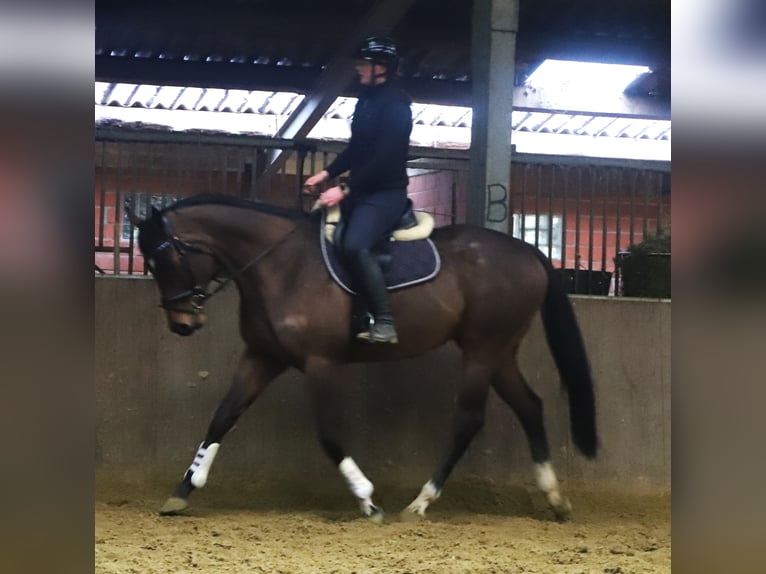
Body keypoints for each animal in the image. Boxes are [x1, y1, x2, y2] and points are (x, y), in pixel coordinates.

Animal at [130, 193, 597, 522]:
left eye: (164, 257)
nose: (182, 324)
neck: (281, 264)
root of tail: (529, 252)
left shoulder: (320, 363)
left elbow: (329, 435)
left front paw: (367, 500)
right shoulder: (262, 356)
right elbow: (222, 417)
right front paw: (183, 490)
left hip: (483, 350)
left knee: (469, 420)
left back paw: (421, 502)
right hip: (498, 352)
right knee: (530, 407)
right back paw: (554, 498)